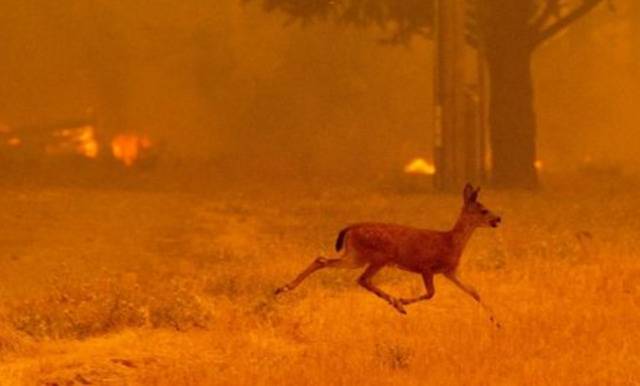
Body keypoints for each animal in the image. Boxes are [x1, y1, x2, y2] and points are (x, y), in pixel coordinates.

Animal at [274, 184, 500, 326]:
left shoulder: (450, 271)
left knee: (323, 260)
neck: (450, 242)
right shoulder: (426, 266)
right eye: (483, 210)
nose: (499, 218)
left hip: (355, 255)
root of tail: (350, 229)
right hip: (377, 256)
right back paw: (396, 304)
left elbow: (474, 292)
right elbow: (431, 293)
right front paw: (402, 301)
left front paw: (496, 321)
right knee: (362, 279)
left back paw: (283, 288)